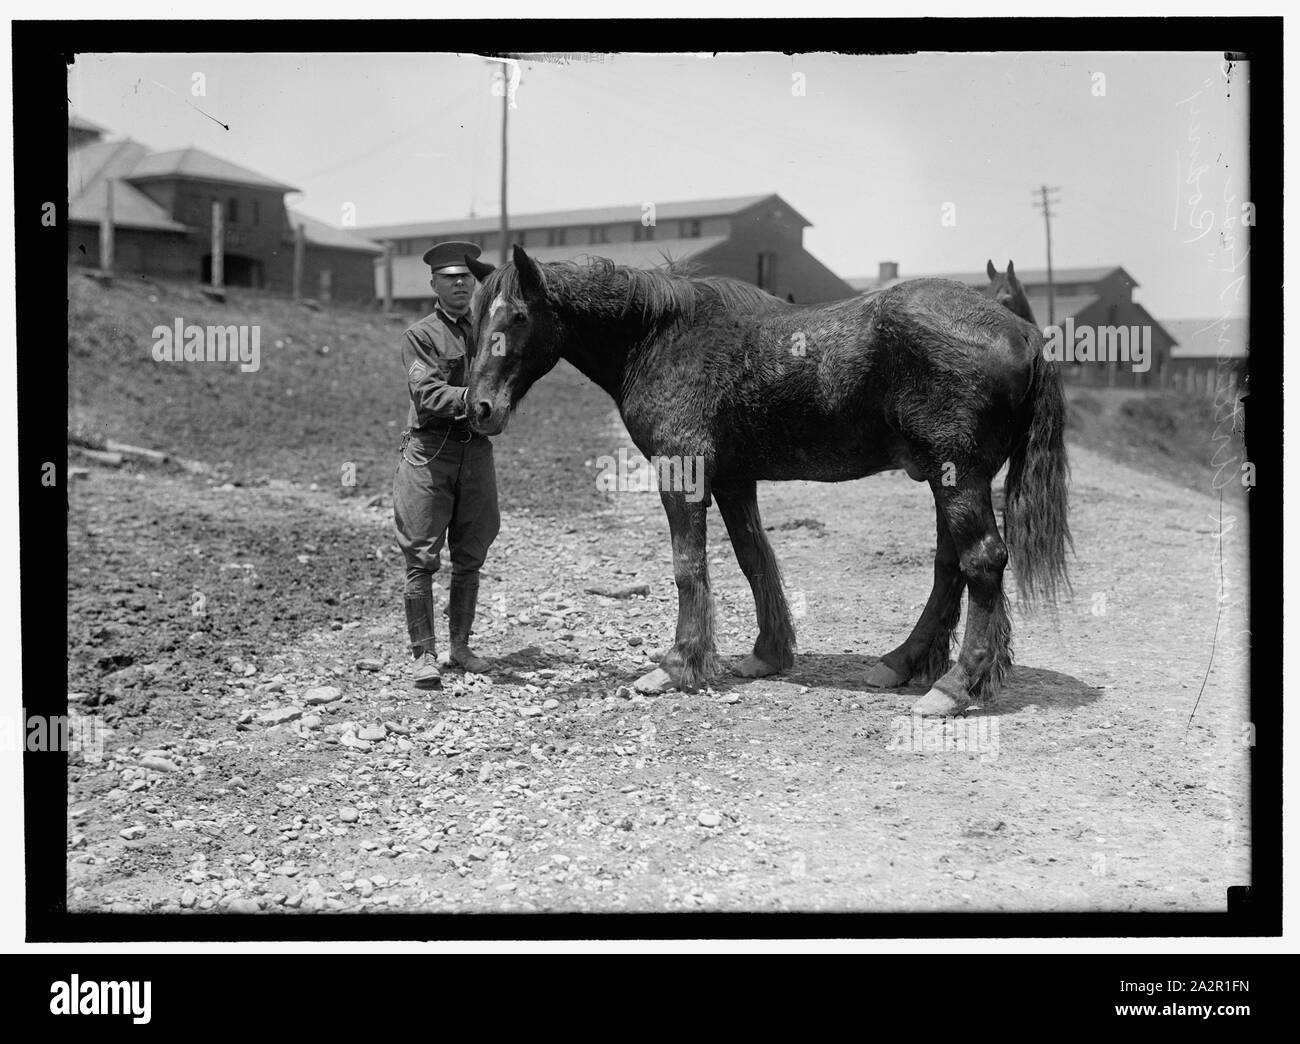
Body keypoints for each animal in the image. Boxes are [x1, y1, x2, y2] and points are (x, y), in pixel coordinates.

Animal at [464, 245, 1071, 716]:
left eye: (517, 317)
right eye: (472, 317)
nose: (480, 409)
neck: (660, 338)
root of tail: (1022, 332)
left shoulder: (682, 474)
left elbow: (689, 566)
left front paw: (678, 666)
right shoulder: (734, 481)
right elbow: (753, 557)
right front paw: (767, 655)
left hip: (959, 478)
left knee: (982, 561)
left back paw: (955, 687)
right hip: (947, 479)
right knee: (951, 567)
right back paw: (902, 663)